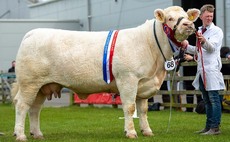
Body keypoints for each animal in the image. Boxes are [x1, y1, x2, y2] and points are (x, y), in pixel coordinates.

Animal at [12, 5, 199, 141]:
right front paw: (131, 132)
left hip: (42, 87)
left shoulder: (143, 84)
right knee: (22, 106)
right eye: (170, 18)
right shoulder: (128, 79)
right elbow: (130, 107)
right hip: (29, 83)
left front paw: (147, 131)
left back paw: (37, 134)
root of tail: (32, 32)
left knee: (35, 108)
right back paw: (20, 135)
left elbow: (143, 110)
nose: (188, 25)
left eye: (186, 15)